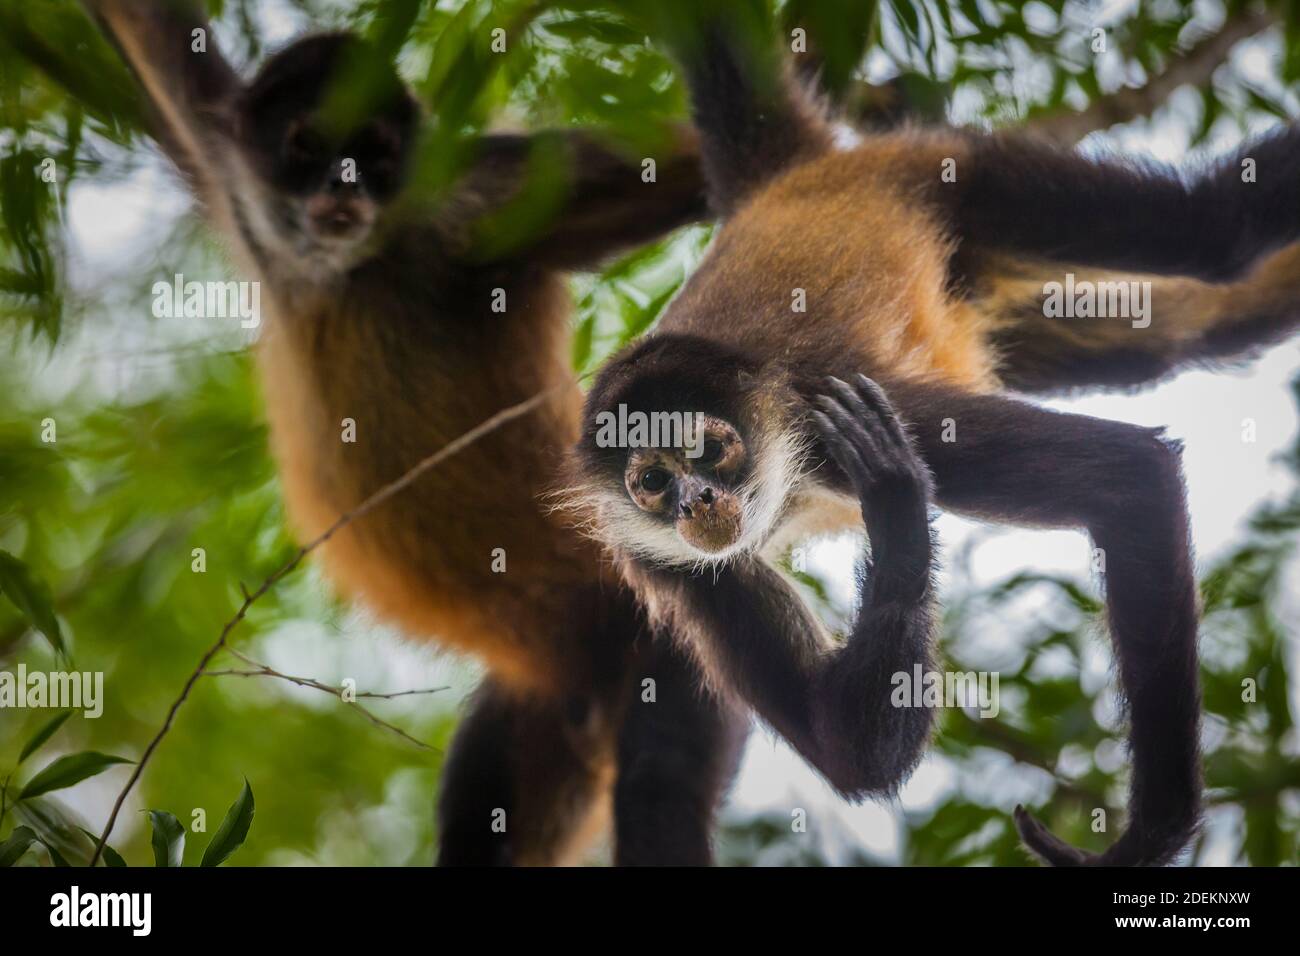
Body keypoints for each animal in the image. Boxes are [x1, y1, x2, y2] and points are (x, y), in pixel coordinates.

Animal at [86, 0, 759, 868]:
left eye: (372, 155)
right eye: (308, 147)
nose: (342, 189)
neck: (348, 267)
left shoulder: (475, 196)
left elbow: (690, 170)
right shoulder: (227, 165)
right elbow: (153, 39)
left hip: (673, 638)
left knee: (660, 790)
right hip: (544, 708)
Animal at [574, 1, 1300, 868]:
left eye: (706, 447)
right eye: (651, 480)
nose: (696, 503)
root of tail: (788, 186)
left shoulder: (848, 407)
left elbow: (1131, 476)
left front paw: (1146, 837)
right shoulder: (664, 559)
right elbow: (849, 752)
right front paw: (897, 511)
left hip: (958, 173)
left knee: (1218, 228)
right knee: (1198, 328)